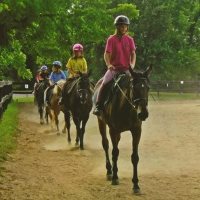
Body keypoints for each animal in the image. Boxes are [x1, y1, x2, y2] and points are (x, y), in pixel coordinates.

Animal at [93, 66, 152, 194]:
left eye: (148, 88)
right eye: (133, 88)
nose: (143, 113)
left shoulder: (136, 131)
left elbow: (134, 157)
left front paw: (136, 184)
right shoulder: (113, 130)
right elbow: (115, 152)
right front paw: (115, 178)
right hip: (101, 122)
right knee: (106, 144)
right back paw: (109, 171)